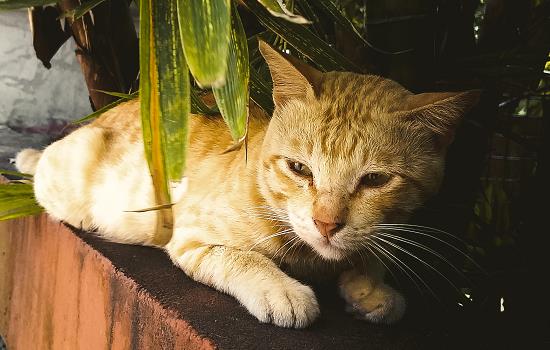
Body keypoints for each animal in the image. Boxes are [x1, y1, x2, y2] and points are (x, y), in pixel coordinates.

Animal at [15, 41, 480, 328]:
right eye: (299, 168)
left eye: (376, 179)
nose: (327, 224)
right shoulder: (192, 237)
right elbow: (244, 258)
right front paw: (283, 290)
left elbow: (369, 255)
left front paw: (372, 290)